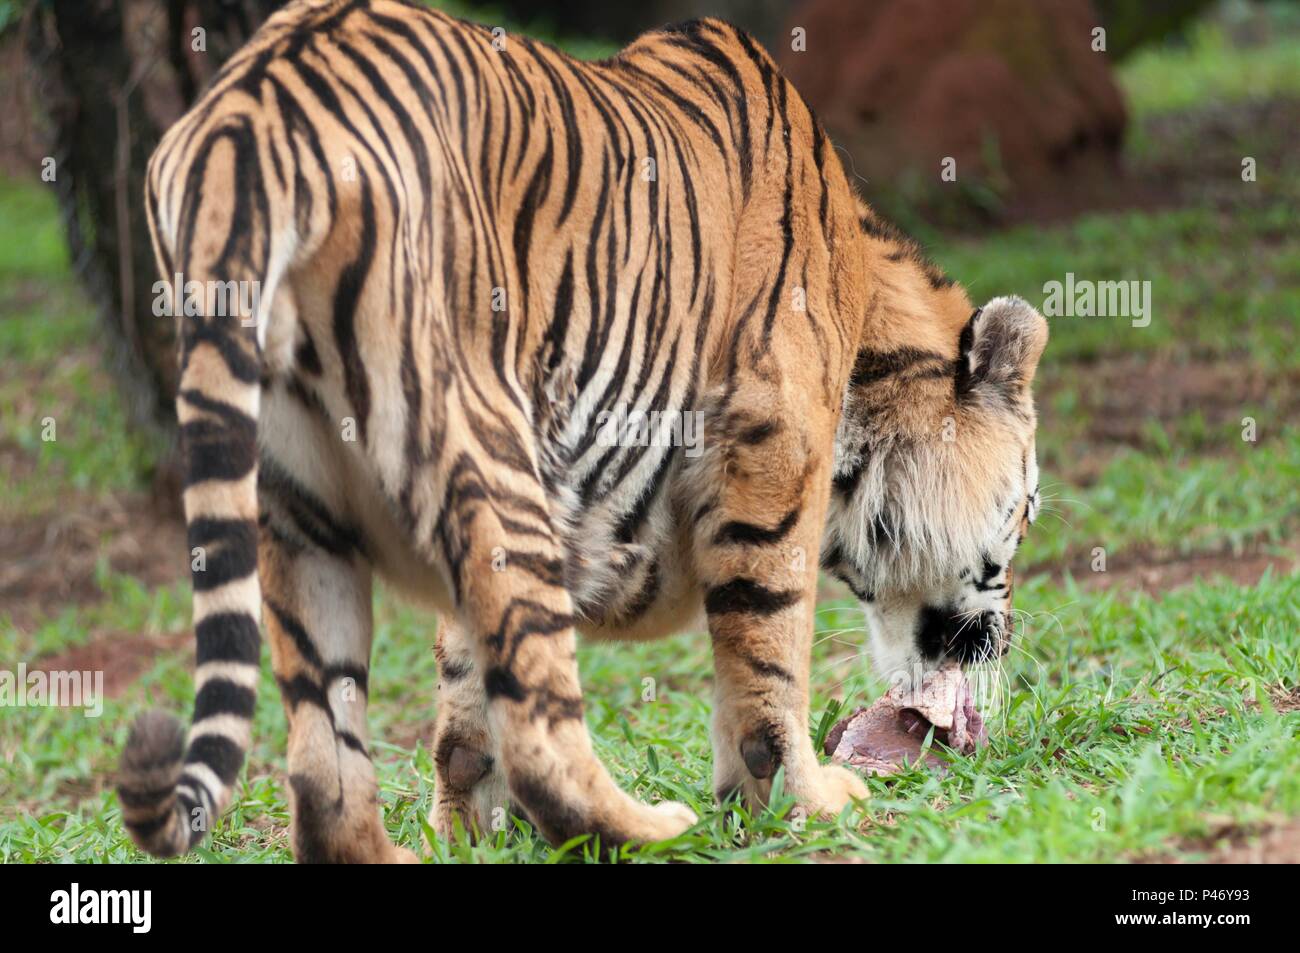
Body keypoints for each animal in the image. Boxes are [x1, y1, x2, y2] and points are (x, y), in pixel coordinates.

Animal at [119, 0, 1045, 863]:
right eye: (1027, 512)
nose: (1001, 640)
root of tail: (248, 112)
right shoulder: (775, 447)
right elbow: (770, 650)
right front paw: (805, 803)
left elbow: (461, 694)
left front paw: (465, 831)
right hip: (494, 455)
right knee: (542, 743)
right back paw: (653, 828)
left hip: (297, 505)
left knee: (324, 765)